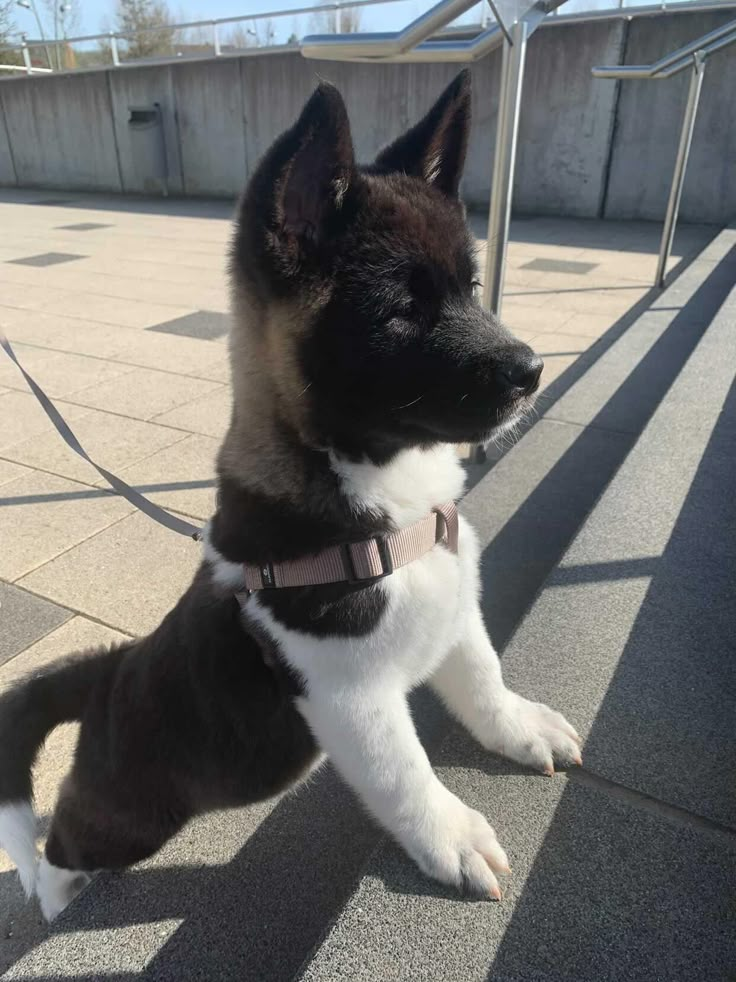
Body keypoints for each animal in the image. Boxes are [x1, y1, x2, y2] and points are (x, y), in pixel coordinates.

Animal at [0, 69, 580, 924]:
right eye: (401, 311)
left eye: (472, 288)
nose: (532, 371)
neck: (380, 499)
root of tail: (110, 671)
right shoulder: (349, 696)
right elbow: (405, 777)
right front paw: (449, 836)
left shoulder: (451, 611)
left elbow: (482, 679)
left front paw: (515, 727)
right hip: (133, 811)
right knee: (63, 838)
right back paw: (54, 889)